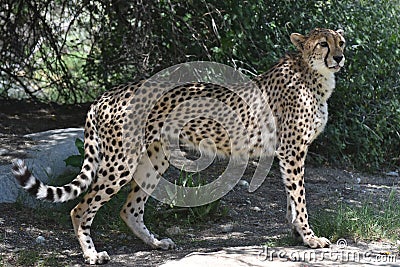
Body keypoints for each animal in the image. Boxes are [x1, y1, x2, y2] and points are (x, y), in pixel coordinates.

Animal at [10, 28, 346, 264]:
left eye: (341, 42)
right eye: (322, 44)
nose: (340, 57)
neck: (313, 75)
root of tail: (105, 95)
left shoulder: (288, 153)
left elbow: (292, 198)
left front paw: (297, 234)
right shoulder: (292, 151)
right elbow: (300, 198)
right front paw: (310, 238)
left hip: (154, 159)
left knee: (129, 209)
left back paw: (156, 243)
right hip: (121, 161)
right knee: (80, 208)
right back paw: (92, 255)